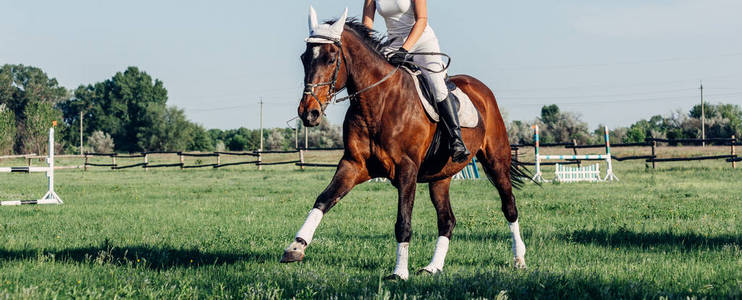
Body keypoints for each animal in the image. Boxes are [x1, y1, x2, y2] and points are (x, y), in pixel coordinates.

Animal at [282, 8, 532, 280]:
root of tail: (480, 88)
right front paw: (296, 247)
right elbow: (323, 200)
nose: (308, 113)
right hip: (440, 177)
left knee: (509, 207)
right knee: (447, 220)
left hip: (496, 161)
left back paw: (519, 259)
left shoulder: (407, 170)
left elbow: (403, 222)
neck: (378, 102)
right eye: (304, 58)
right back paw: (433, 267)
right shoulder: (353, 165)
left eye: (330, 59)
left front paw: (400, 272)